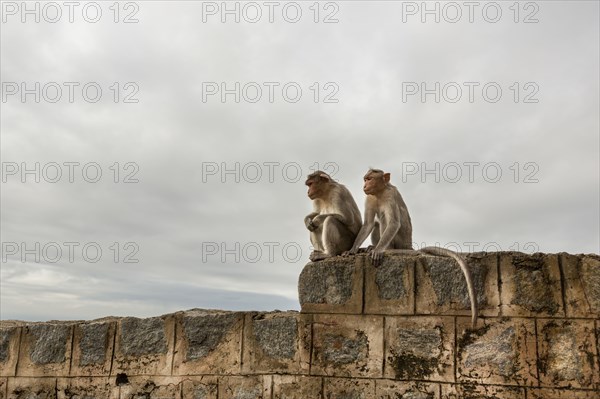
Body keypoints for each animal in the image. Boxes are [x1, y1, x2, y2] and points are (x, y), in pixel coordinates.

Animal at [346, 169, 478, 328]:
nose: (365, 185)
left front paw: (377, 251)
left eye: (370, 179)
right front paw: (353, 249)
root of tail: (409, 245)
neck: (379, 193)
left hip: (401, 239)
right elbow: (368, 224)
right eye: (365, 179)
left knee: (386, 219)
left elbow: (394, 223)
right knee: (377, 223)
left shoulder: (390, 195)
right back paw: (372, 246)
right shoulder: (369, 198)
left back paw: (386, 249)